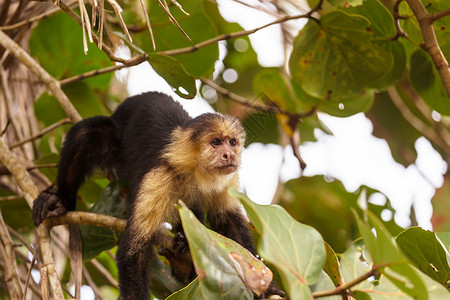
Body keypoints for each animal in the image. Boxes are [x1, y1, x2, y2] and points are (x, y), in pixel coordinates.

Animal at [32, 92, 284, 298]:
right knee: (87, 133)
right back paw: (61, 200)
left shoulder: (226, 180)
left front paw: (263, 284)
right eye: (216, 142)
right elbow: (134, 250)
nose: (229, 155)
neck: (195, 171)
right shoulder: (159, 176)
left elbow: (231, 227)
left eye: (232, 142)